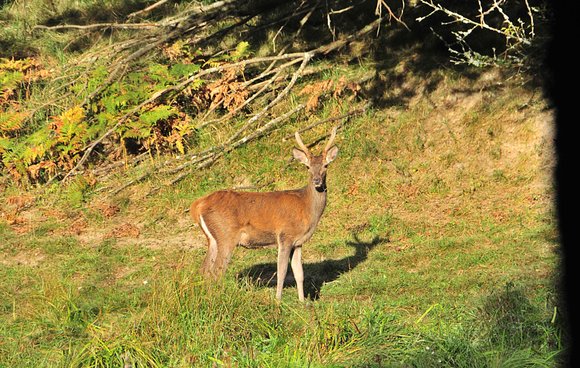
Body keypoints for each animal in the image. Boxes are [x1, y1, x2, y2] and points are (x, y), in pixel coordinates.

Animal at [189, 128, 340, 300]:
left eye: (326, 165)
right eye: (307, 167)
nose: (316, 180)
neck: (306, 207)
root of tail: (198, 205)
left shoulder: (298, 242)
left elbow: (299, 273)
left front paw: (302, 301)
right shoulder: (285, 236)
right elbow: (282, 272)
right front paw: (278, 300)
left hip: (213, 239)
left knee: (204, 270)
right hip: (226, 235)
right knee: (216, 271)